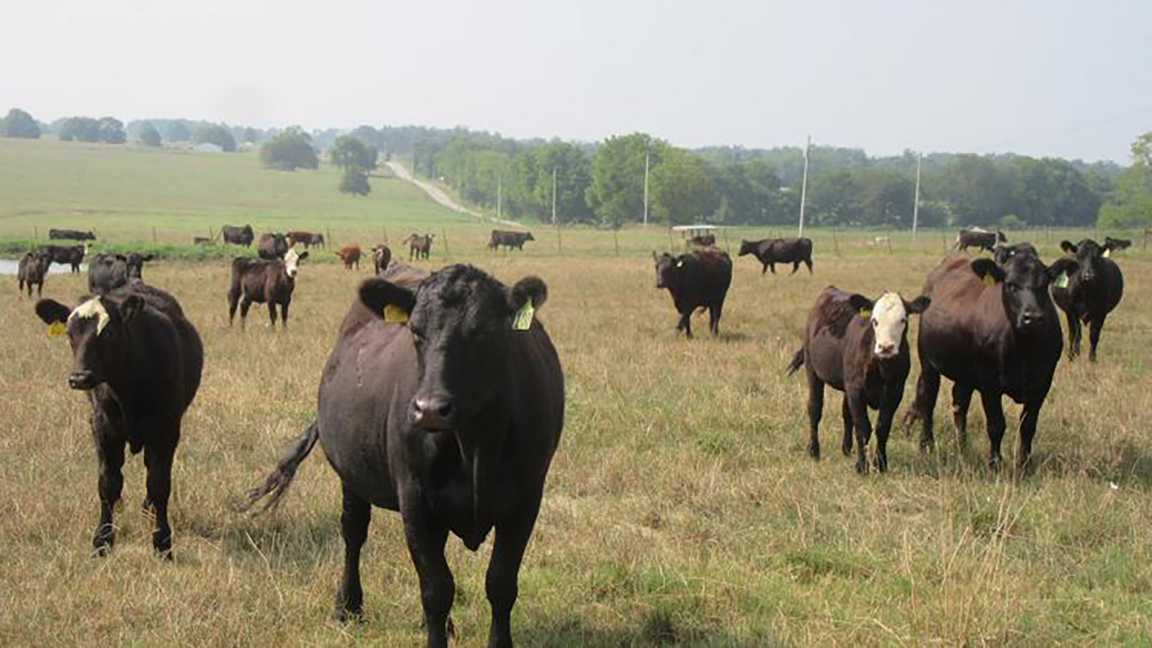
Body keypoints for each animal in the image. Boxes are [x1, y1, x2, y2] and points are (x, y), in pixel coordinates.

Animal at [33, 284, 203, 557]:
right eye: (69, 334)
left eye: (109, 332)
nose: (79, 378)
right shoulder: (103, 428)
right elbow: (108, 484)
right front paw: (102, 540)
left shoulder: (167, 430)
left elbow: (159, 484)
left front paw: (163, 542)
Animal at [241, 263, 564, 647]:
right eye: (415, 331)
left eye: (482, 331)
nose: (430, 409)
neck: (473, 445)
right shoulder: (414, 499)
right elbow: (436, 590)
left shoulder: (525, 500)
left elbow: (500, 584)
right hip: (352, 476)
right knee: (353, 534)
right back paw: (348, 605)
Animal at [786, 287, 930, 473]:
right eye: (874, 321)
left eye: (903, 320)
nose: (886, 347)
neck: (881, 367)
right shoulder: (856, 389)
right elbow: (862, 426)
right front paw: (862, 466)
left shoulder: (895, 391)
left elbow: (883, 427)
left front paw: (881, 464)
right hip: (813, 370)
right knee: (814, 409)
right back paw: (814, 450)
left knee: (846, 414)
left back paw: (847, 449)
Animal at [902, 252, 1079, 469]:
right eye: (1010, 285)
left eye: (1044, 284)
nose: (1033, 318)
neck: (1023, 349)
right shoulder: (989, 384)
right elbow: (996, 425)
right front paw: (994, 463)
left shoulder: (1042, 383)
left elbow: (1028, 426)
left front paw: (1025, 465)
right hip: (928, 362)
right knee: (928, 399)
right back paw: (926, 445)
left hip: (965, 373)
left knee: (959, 403)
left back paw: (963, 446)